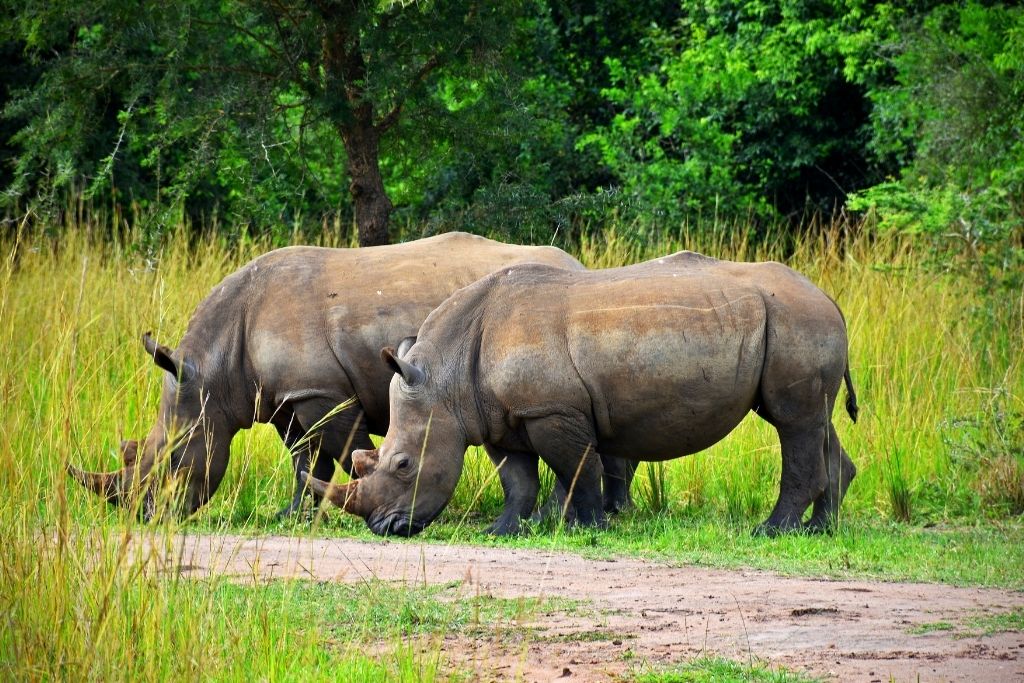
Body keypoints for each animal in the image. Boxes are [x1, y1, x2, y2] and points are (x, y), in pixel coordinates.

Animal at [68, 232, 589, 520]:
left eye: (173, 456)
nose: (144, 515)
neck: (213, 376)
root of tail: (577, 264)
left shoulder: (322, 392)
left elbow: (340, 451)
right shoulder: (285, 397)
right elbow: (304, 458)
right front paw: (292, 515)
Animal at [303, 252, 856, 540]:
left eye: (402, 465)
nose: (384, 527)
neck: (446, 376)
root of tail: (830, 298)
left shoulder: (552, 411)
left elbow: (578, 469)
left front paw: (586, 527)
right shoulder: (497, 415)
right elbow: (518, 479)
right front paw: (503, 531)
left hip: (795, 320)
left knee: (792, 423)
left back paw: (773, 531)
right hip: (795, 320)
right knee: (814, 422)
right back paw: (820, 531)